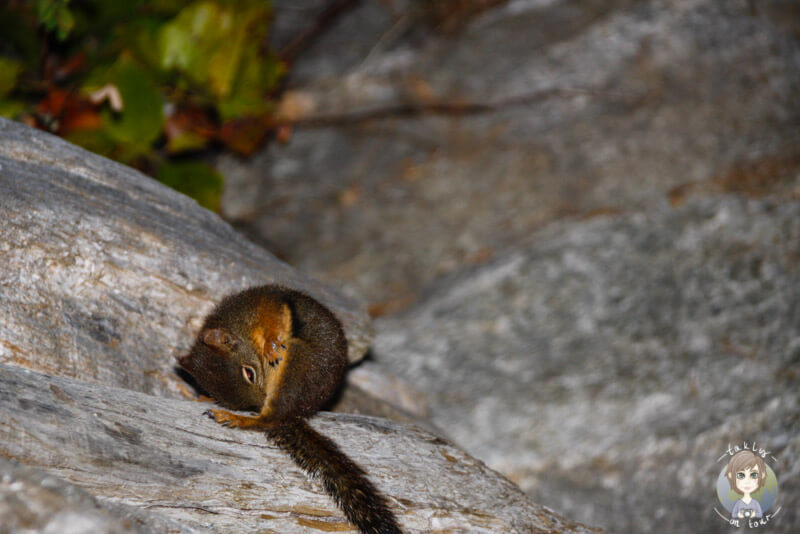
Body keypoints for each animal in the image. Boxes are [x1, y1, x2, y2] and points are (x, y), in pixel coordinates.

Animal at [175, 286, 400, 534]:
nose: (258, 403)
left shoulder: (265, 305)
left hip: (296, 362)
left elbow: (274, 318)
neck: (237, 324)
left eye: (249, 373)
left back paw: (238, 418)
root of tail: (294, 413)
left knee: (270, 419)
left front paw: (271, 345)